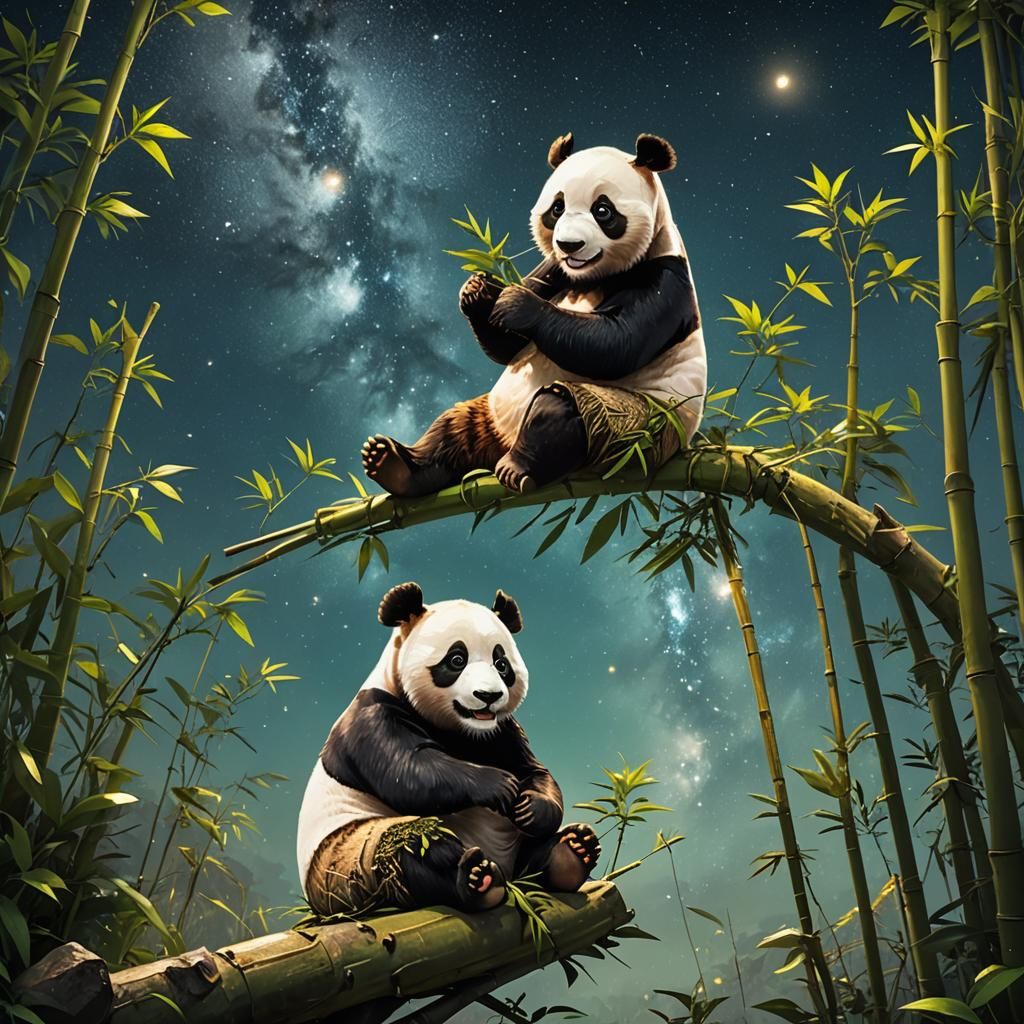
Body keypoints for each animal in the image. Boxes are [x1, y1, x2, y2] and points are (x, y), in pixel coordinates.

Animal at [296, 582, 601, 916]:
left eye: (501, 664)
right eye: (457, 660)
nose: (488, 696)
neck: (459, 728)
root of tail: (507, 873)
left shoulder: (501, 731)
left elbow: (534, 770)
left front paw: (532, 807)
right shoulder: (371, 716)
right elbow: (408, 773)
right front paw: (499, 786)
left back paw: (572, 850)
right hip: (347, 865)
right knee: (415, 843)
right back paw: (478, 880)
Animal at [362, 131, 706, 497]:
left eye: (603, 210)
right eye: (557, 208)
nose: (569, 245)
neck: (592, 276)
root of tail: (504, 443)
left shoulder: (663, 279)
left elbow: (615, 344)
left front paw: (517, 305)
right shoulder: (553, 269)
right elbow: (507, 347)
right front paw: (477, 291)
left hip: (638, 425)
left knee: (565, 409)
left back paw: (518, 468)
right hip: (490, 415)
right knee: (452, 428)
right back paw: (393, 465)